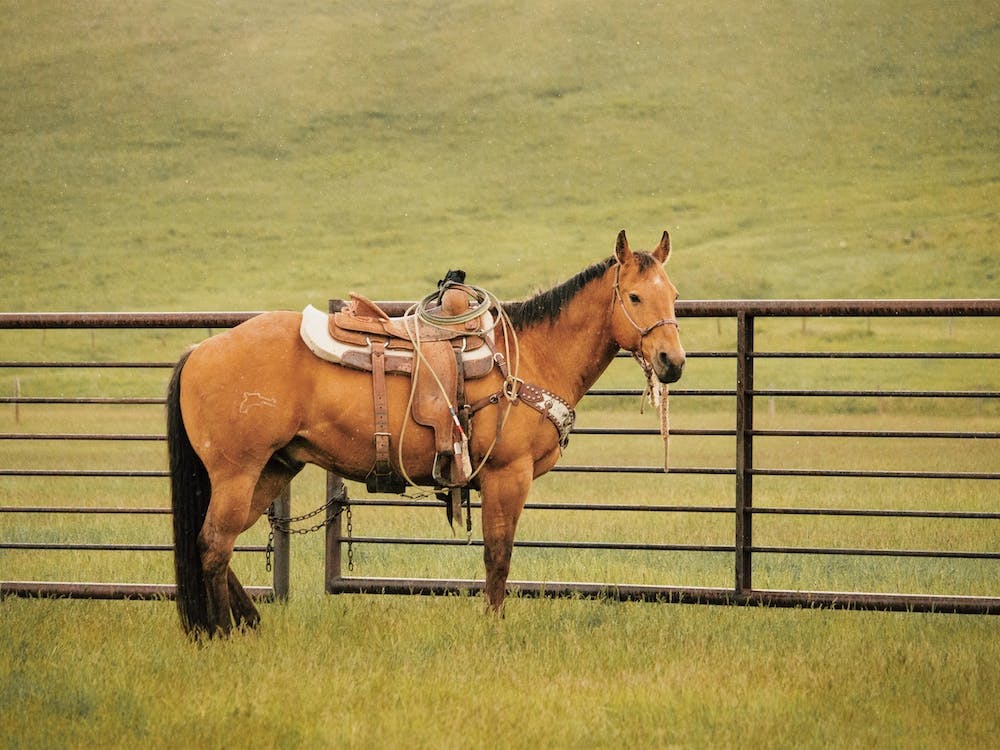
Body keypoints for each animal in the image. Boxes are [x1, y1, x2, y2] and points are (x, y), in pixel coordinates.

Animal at [167, 229, 685, 637]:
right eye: (635, 297)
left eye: (675, 295)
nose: (673, 362)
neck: (532, 355)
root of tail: (199, 349)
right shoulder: (506, 476)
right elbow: (498, 556)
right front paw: (493, 627)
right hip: (238, 472)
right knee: (213, 545)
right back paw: (222, 632)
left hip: (272, 469)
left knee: (218, 544)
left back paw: (249, 624)